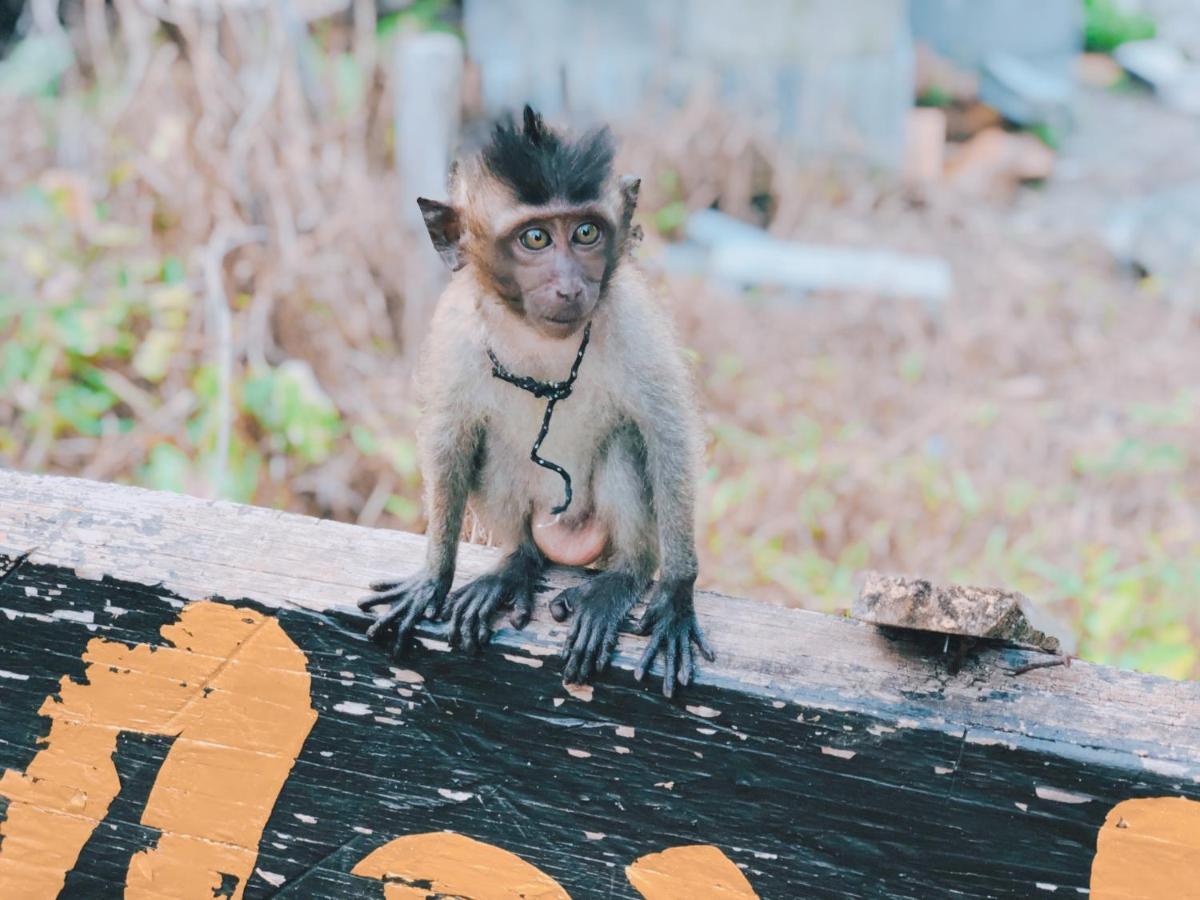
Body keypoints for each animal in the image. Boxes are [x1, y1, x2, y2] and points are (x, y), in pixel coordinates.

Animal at [357, 103, 710, 696]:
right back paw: (516, 565)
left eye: (586, 231)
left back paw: (624, 577)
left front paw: (677, 594)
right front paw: (433, 575)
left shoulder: (632, 321)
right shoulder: (456, 329)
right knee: (496, 450)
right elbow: (450, 437)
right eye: (537, 239)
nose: (570, 286)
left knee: (625, 445)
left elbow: (668, 434)